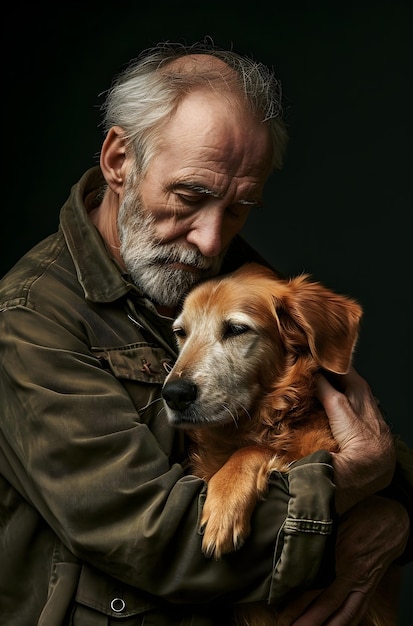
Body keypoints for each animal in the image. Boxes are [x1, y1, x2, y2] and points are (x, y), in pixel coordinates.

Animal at [163, 260, 392, 620]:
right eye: (181, 332)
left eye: (236, 329)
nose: (173, 394)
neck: (265, 420)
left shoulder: (317, 448)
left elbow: (254, 451)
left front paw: (223, 506)